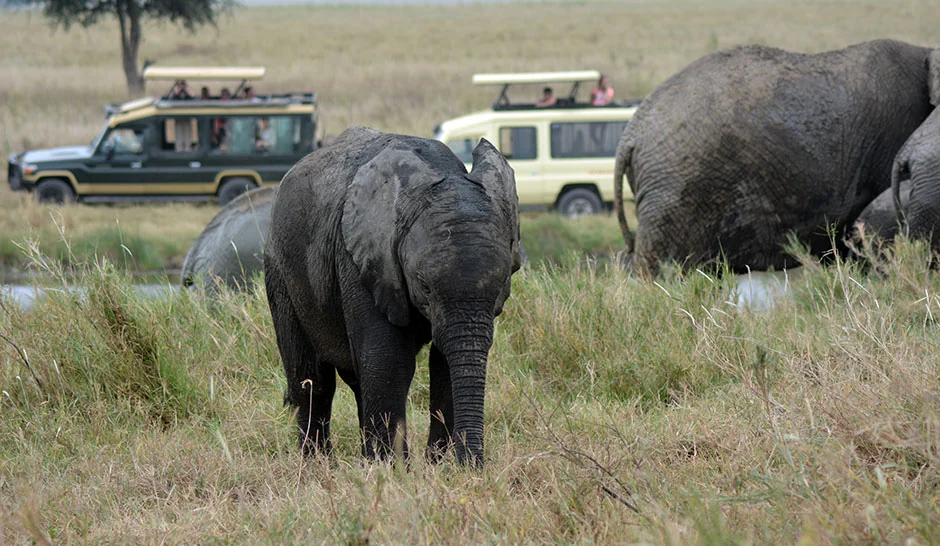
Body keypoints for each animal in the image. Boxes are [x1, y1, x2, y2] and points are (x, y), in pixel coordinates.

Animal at [264, 127, 521, 466]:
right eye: (424, 286)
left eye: (502, 285)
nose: (473, 468)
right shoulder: (361, 261)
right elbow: (388, 361)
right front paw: (394, 470)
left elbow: (442, 363)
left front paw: (435, 467)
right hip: (280, 271)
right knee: (311, 379)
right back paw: (319, 466)